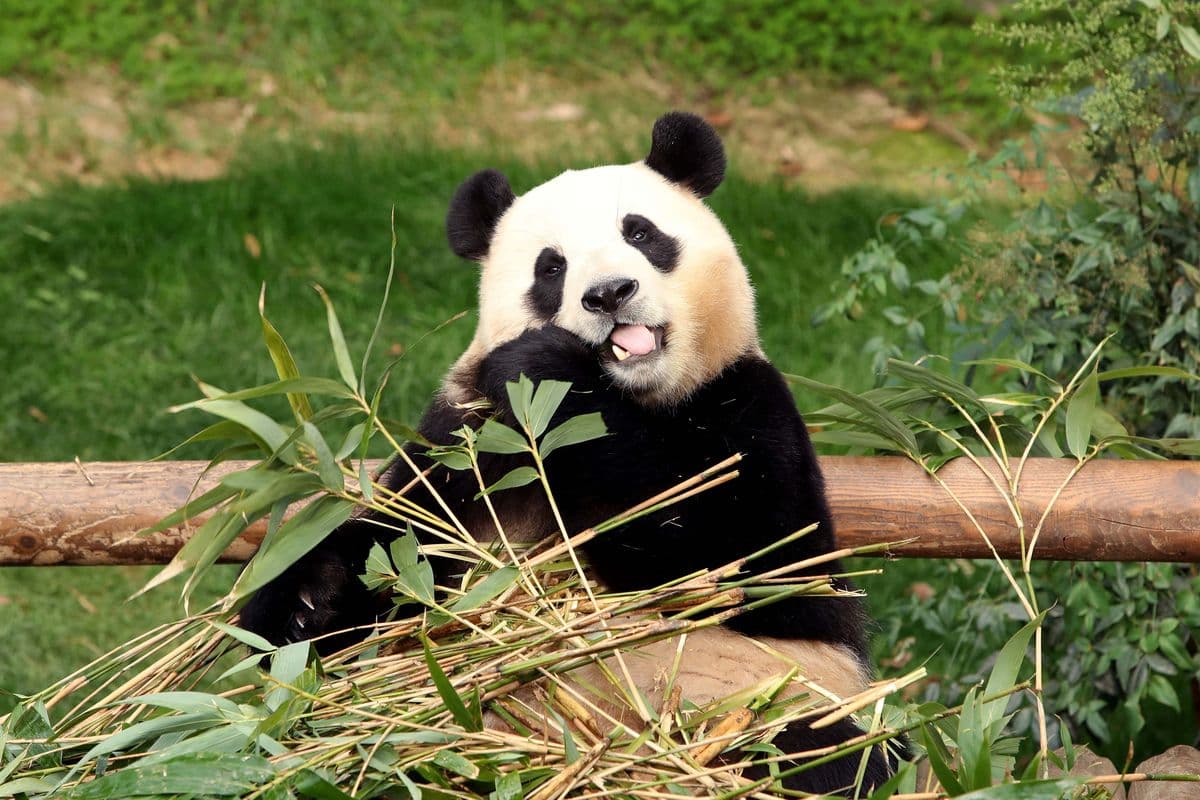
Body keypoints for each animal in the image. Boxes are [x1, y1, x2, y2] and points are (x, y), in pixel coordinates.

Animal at [240, 112, 893, 795]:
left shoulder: (748, 405)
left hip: (768, 703)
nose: (609, 294)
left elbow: (740, 560)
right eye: (550, 267)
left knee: (820, 755)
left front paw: (548, 370)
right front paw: (304, 608)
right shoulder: (466, 443)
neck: (638, 395)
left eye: (640, 232)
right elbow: (400, 540)